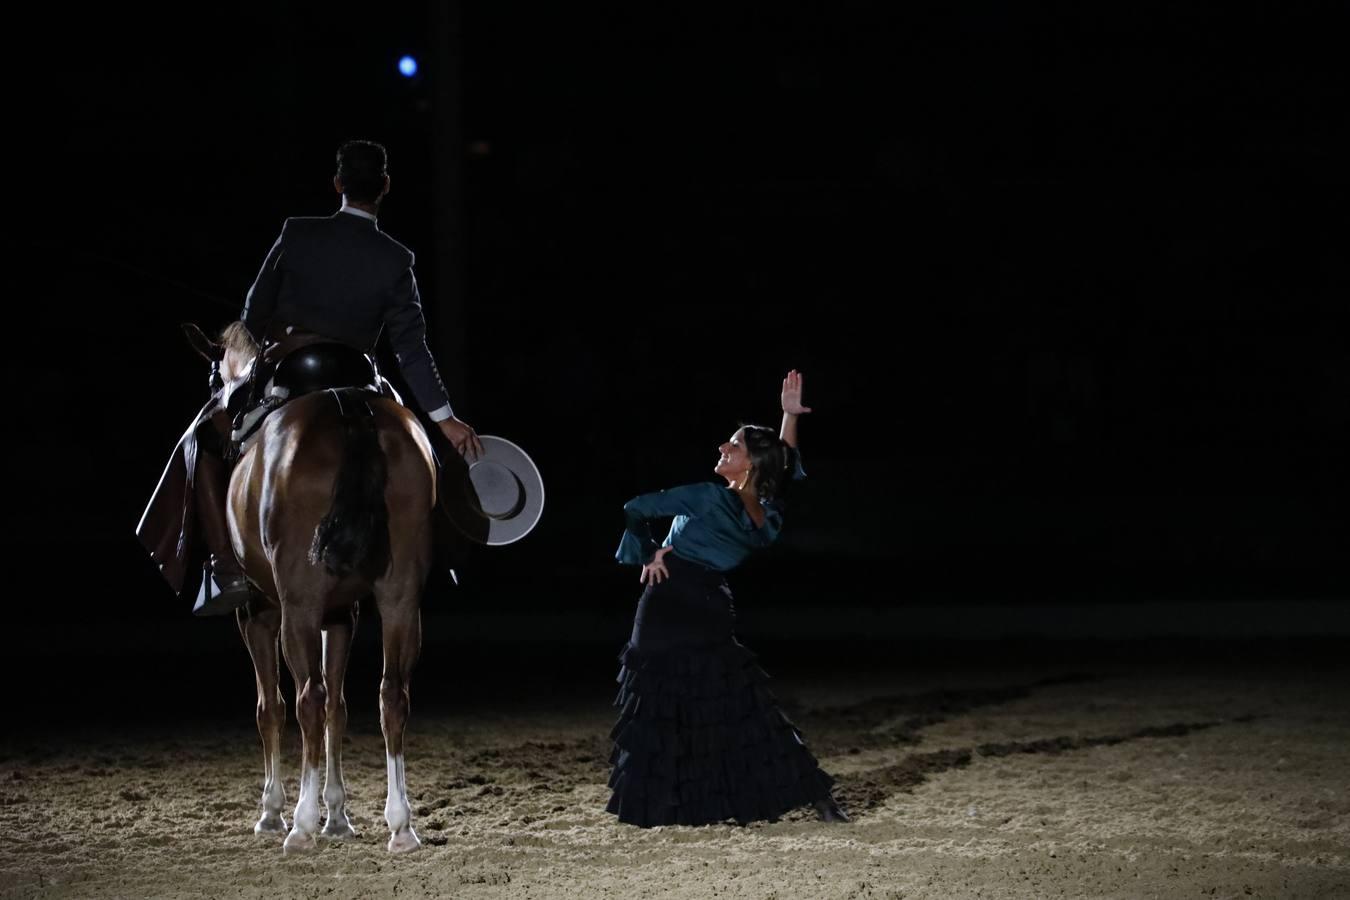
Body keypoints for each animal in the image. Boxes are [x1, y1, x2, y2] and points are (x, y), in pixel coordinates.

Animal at [191, 322, 437, 852]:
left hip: (297, 607)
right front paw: (338, 815)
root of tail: (347, 404)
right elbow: (340, 711)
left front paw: (274, 812)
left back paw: (300, 825)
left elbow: (272, 707)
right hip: (400, 597)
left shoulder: (259, 613)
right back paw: (401, 825)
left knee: (307, 699)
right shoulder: (343, 615)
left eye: (213, 378)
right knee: (392, 695)